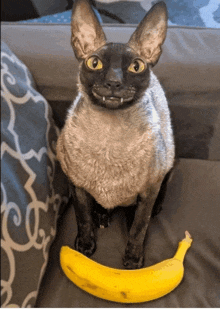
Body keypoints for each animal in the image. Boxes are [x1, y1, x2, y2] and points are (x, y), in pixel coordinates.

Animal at [56, 0, 174, 268]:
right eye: (95, 63)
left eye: (136, 66)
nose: (113, 82)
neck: (109, 140)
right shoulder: (77, 186)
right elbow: (83, 219)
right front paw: (85, 246)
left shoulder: (149, 189)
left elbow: (139, 228)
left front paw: (132, 259)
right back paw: (102, 214)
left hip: (168, 165)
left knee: (148, 207)